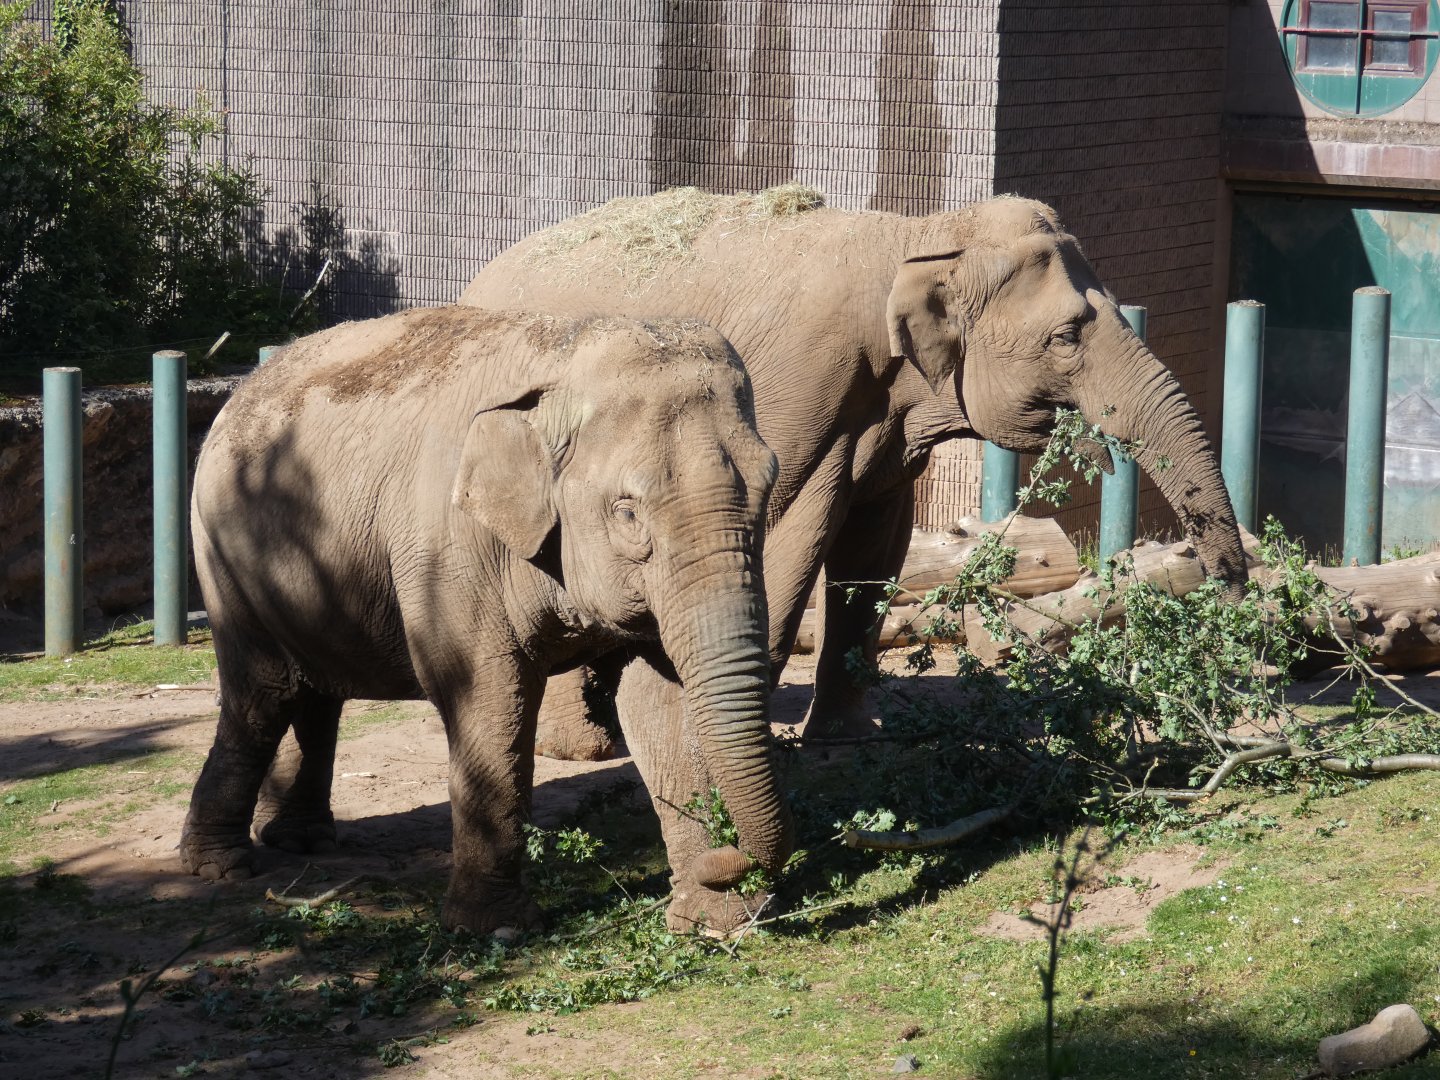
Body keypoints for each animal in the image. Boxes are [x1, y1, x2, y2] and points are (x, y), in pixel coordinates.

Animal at [178, 305, 791, 935]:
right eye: (627, 513)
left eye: (768, 486)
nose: (731, 858)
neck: (566, 350)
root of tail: (240, 394)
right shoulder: (449, 548)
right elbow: (492, 696)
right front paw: (494, 927)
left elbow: (660, 705)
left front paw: (712, 921)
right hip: (223, 555)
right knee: (263, 696)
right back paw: (221, 865)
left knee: (317, 692)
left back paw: (301, 842)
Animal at [455, 190, 1248, 761]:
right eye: (1064, 337)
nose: (1231, 594)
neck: (921, 236)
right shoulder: (796, 393)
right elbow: (781, 542)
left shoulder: (886, 430)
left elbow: (874, 550)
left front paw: (845, 740)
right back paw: (581, 750)